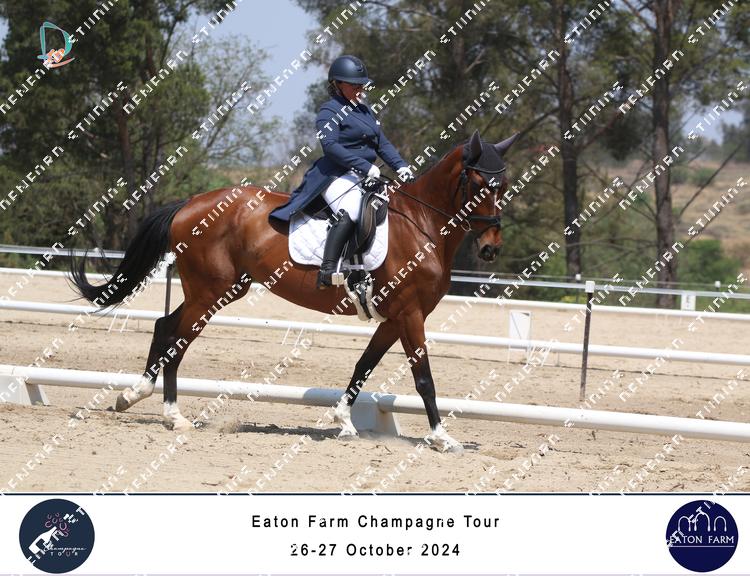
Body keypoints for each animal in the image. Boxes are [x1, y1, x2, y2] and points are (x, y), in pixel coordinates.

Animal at [69, 129, 518, 453]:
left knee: (167, 327)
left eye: (505, 183)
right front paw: (443, 438)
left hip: (222, 290)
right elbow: (424, 379)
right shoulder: (410, 315)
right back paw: (163, 410)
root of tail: (191, 203)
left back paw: (144, 401)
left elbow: (363, 366)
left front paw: (343, 421)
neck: (422, 224)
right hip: (209, 292)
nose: (491, 248)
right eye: (479, 182)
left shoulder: (395, 317)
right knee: (176, 337)